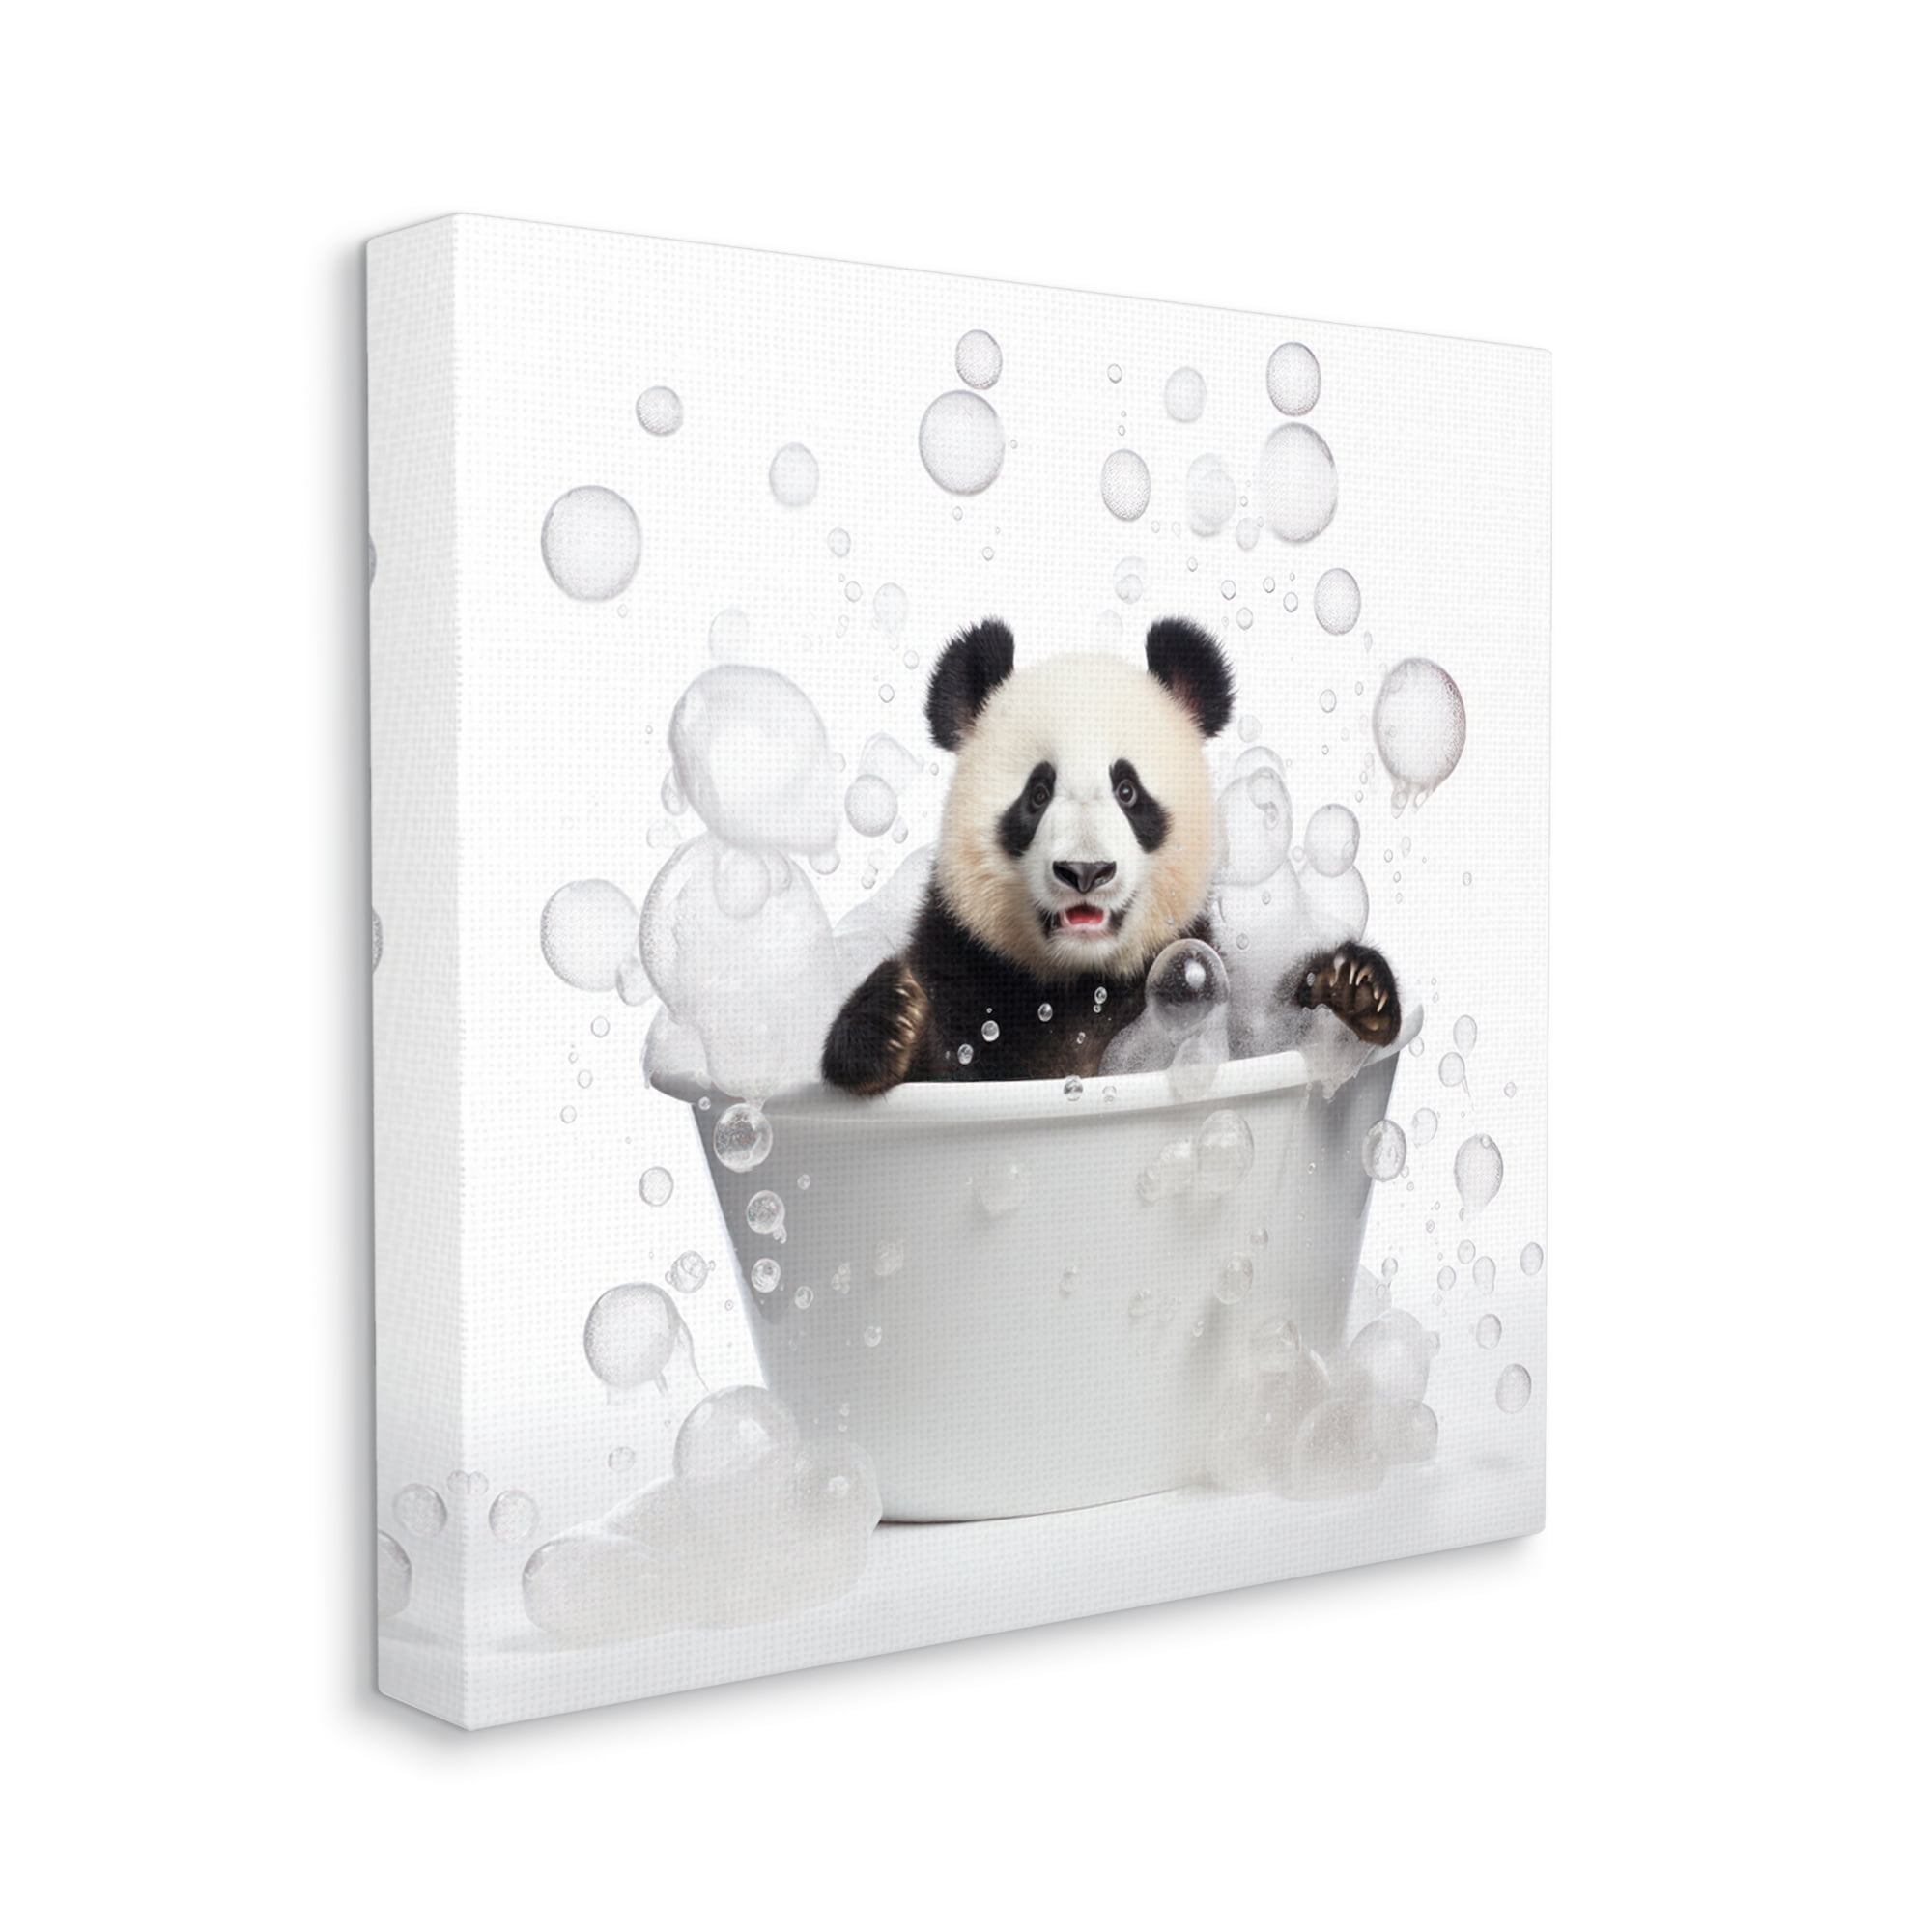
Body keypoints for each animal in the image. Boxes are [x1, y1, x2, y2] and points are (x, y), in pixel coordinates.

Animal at [821, 616, 1399, 1096]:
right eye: (1037, 794)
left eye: (1127, 791)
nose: (1085, 871)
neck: (1080, 983)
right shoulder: (963, 965)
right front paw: (888, 1019)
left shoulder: (1193, 978)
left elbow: (1267, 1034)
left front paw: (1353, 986)